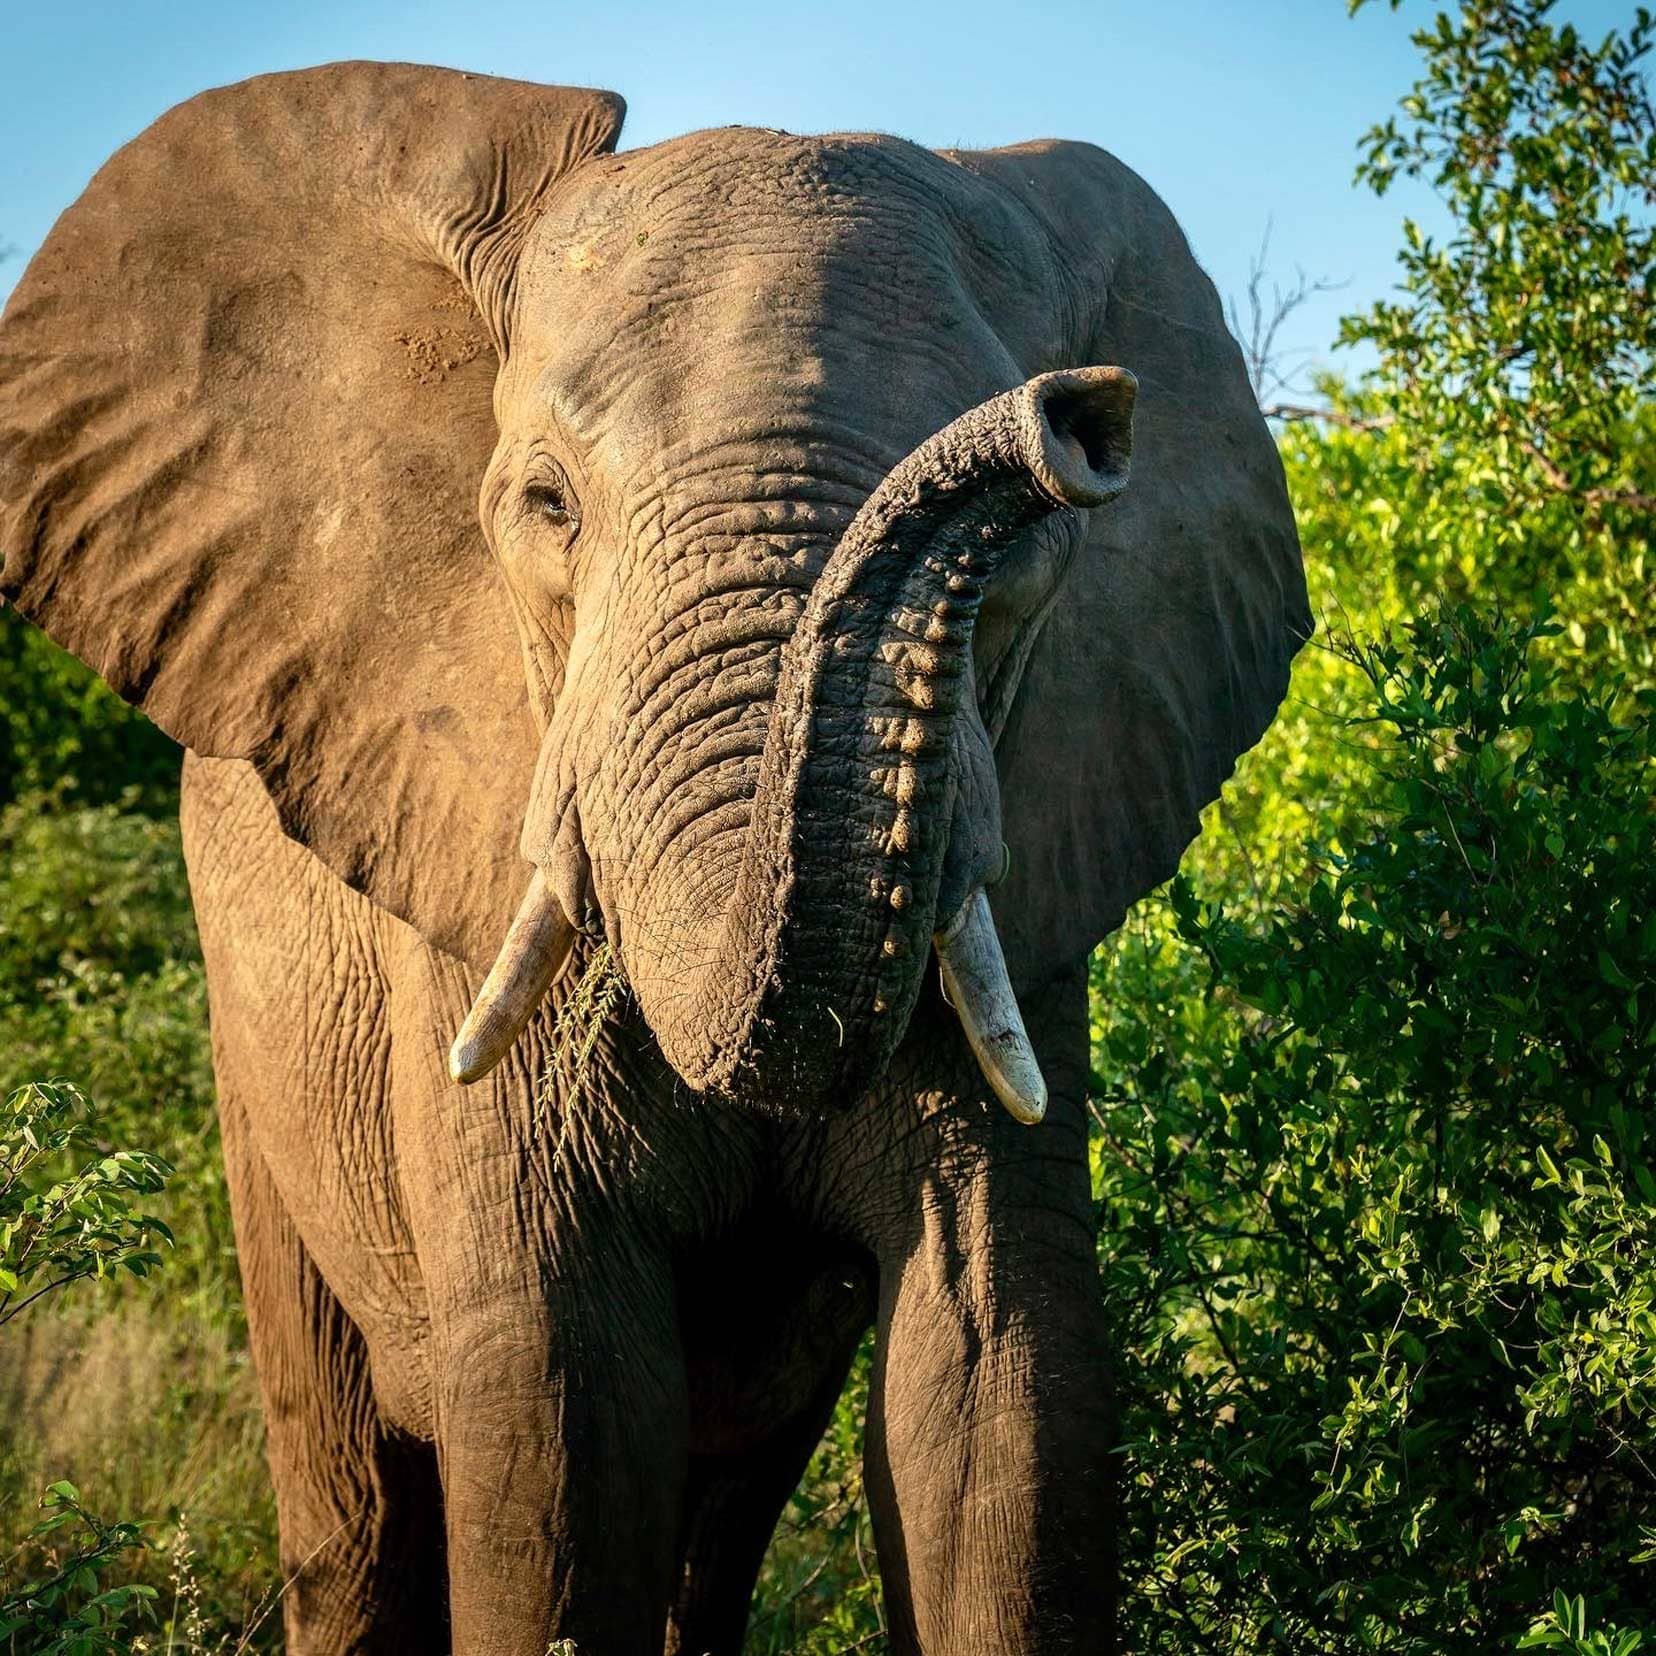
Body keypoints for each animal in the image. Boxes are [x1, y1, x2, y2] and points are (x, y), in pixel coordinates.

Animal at [0, 58, 1304, 1656]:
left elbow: (1002, 1379)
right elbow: (562, 1415)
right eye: (547, 507)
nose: (1077, 416)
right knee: (353, 1503)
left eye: (1030, 563)